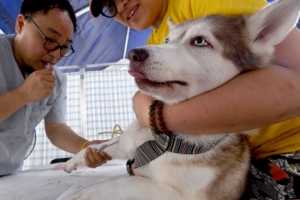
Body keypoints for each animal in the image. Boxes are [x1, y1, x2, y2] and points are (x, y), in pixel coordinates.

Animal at [63, 0, 300, 199]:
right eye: (167, 40)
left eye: (200, 41)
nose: (133, 55)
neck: (161, 140)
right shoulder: (127, 142)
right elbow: (102, 145)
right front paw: (72, 162)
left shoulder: (180, 195)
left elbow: (122, 184)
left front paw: (78, 195)